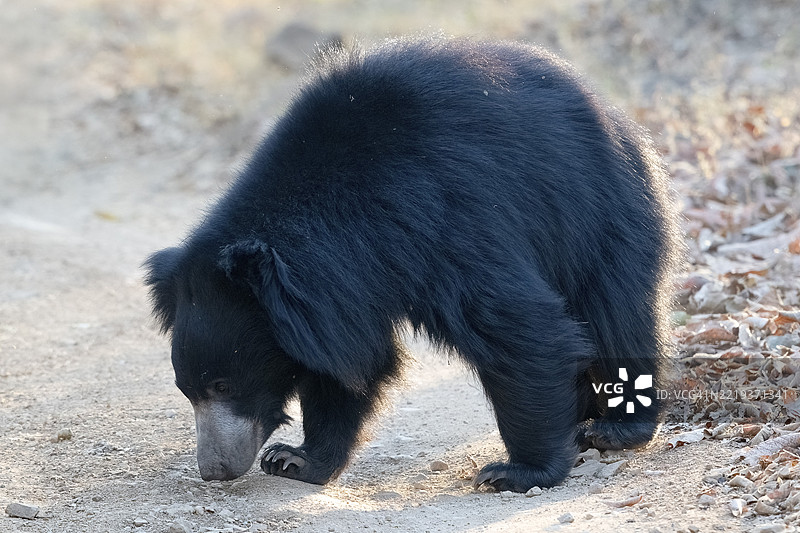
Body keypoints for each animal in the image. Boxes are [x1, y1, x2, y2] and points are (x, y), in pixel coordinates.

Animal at [144, 37, 679, 493]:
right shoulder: (333, 298)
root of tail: (615, 116)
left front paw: (517, 471)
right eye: (187, 390)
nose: (214, 469)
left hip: (601, 213)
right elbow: (347, 367)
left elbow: (522, 327)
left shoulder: (440, 217)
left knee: (615, 311)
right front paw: (296, 459)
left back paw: (614, 429)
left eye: (223, 384)